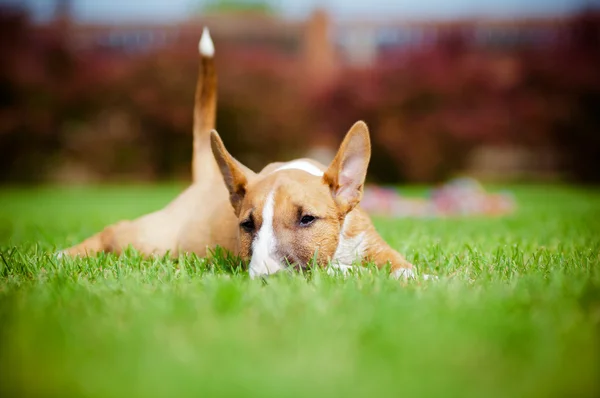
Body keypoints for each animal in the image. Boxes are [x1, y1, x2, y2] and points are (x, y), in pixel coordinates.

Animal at [62, 28, 418, 280]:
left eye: (307, 219)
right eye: (248, 224)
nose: (267, 278)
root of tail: (204, 181)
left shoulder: (373, 244)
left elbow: (403, 267)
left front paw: (418, 278)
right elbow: (340, 269)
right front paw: (356, 273)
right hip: (153, 240)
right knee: (115, 231)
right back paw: (63, 255)